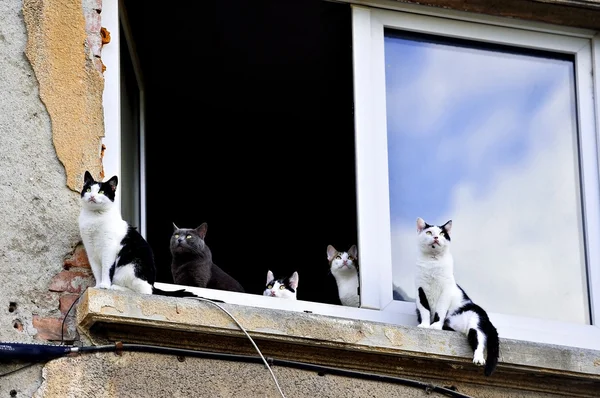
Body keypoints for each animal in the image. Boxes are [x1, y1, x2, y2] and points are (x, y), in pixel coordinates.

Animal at [412, 218, 502, 376]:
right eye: (429, 232)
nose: (436, 237)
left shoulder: (446, 290)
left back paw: (478, 359)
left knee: (479, 340)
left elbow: (440, 311)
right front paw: (425, 325)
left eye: (442, 233)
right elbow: (424, 310)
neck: (432, 263)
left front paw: (435, 326)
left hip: (475, 322)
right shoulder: (420, 290)